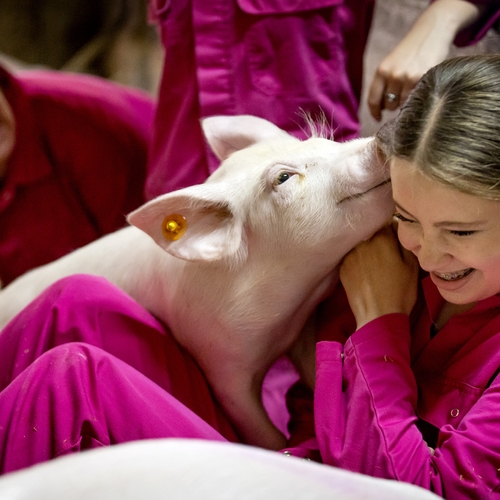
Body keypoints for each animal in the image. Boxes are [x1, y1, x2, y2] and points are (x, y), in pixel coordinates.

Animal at [0, 116, 392, 450]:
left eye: (322, 140)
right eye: (283, 178)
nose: (383, 137)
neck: (282, 315)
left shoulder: (302, 327)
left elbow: (313, 369)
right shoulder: (221, 366)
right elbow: (257, 429)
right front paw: (281, 446)